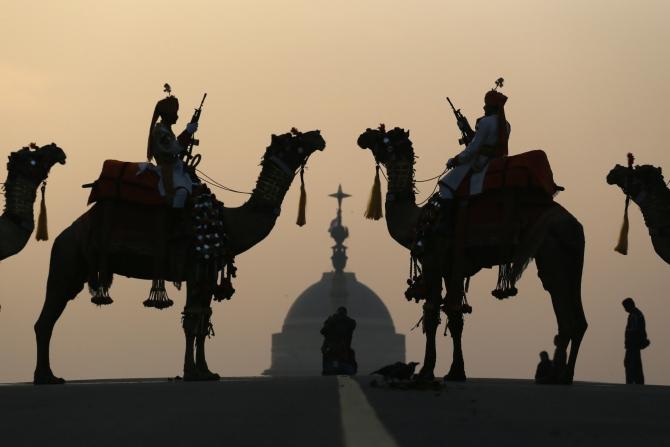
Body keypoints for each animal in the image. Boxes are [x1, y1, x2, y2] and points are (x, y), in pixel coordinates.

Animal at [35, 130, 326, 384]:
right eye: (294, 139)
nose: (318, 136)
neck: (228, 223)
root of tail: (62, 235)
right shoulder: (196, 269)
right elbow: (192, 321)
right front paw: (190, 373)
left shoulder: (208, 274)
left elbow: (203, 319)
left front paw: (206, 372)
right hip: (66, 260)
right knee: (46, 319)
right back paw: (45, 377)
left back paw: (48, 375)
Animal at [356, 127, 588, 384]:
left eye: (383, 136)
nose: (363, 136)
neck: (416, 223)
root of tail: (574, 225)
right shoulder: (452, 268)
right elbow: (455, 314)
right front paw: (456, 371)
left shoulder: (434, 261)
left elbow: (432, 312)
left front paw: (427, 371)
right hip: (572, 258)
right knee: (578, 319)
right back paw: (565, 374)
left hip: (551, 253)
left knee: (565, 314)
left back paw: (556, 375)